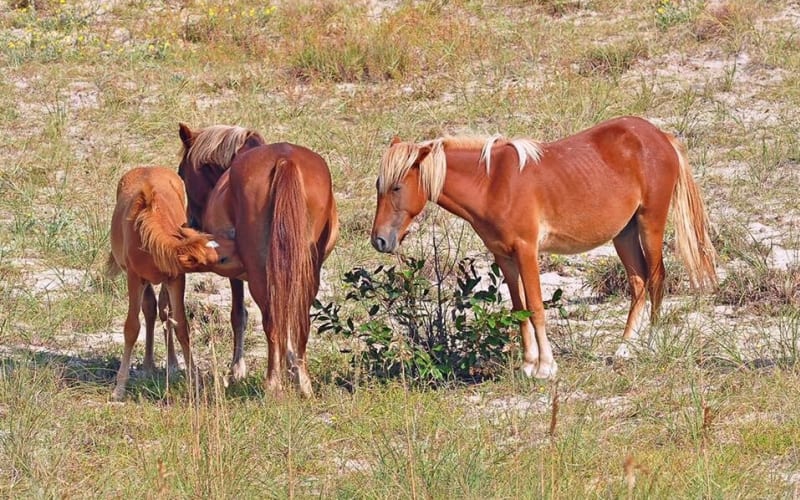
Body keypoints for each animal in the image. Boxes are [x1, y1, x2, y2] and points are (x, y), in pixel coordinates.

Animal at [107, 166, 222, 400]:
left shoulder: (176, 278)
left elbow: (181, 326)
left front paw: (194, 381)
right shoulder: (134, 278)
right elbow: (132, 327)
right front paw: (119, 388)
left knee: (162, 311)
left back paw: (171, 364)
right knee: (150, 310)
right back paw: (148, 365)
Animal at [178, 124, 339, 397]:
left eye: (181, 173)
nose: (190, 222)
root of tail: (285, 160)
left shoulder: (235, 272)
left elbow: (238, 315)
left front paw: (236, 371)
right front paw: (290, 366)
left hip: (260, 274)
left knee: (272, 321)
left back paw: (273, 384)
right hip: (307, 270)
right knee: (299, 320)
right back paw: (303, 383)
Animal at [370, 116, 717, 379]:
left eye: (397, 187)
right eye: (378, 186)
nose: (379, 240)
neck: (493, 183)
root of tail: (660, 136)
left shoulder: (526, 251)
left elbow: (536, 307)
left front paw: (546, 367)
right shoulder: (503, 256)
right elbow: (518, 308)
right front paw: (527, 364)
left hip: (650, 225)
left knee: (657, 278)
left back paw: (651, 343)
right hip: (624, 234)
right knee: (639, 282)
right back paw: (625, 347)